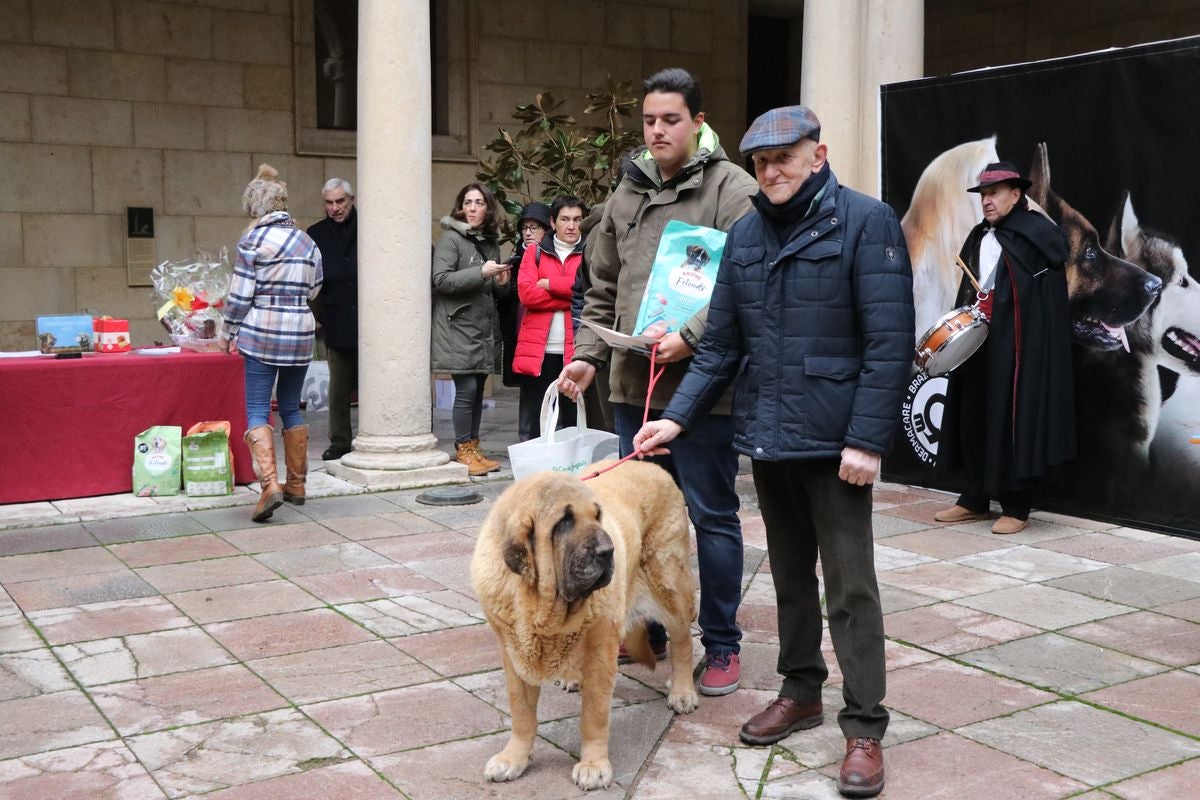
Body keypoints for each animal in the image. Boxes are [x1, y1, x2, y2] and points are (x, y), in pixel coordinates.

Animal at [470, 460, 700, 791]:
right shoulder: (513, 653)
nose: (608, 551)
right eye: (564, 522)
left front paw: (593, 765)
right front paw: (513, 758)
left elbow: (593, 715)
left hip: (669, 585)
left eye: (597, 515)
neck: (541, 604)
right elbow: (521, 713)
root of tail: (649, 463)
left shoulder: (600, 653)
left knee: (682, 641)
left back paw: (682, 692)